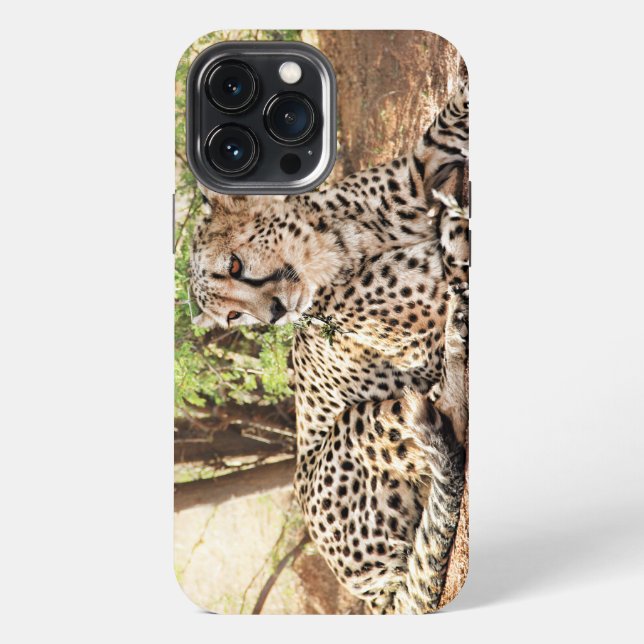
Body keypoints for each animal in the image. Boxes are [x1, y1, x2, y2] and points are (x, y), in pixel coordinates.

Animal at [189, 80, 469, 614]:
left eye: (234, 265)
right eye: (231, 316)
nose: (274, 313)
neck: (336, 241)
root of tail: (372, 591)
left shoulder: (420, 168)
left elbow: (448, 122)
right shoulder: (432, 309)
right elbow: (459, 259)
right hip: (361, 428)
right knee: (449, 417)